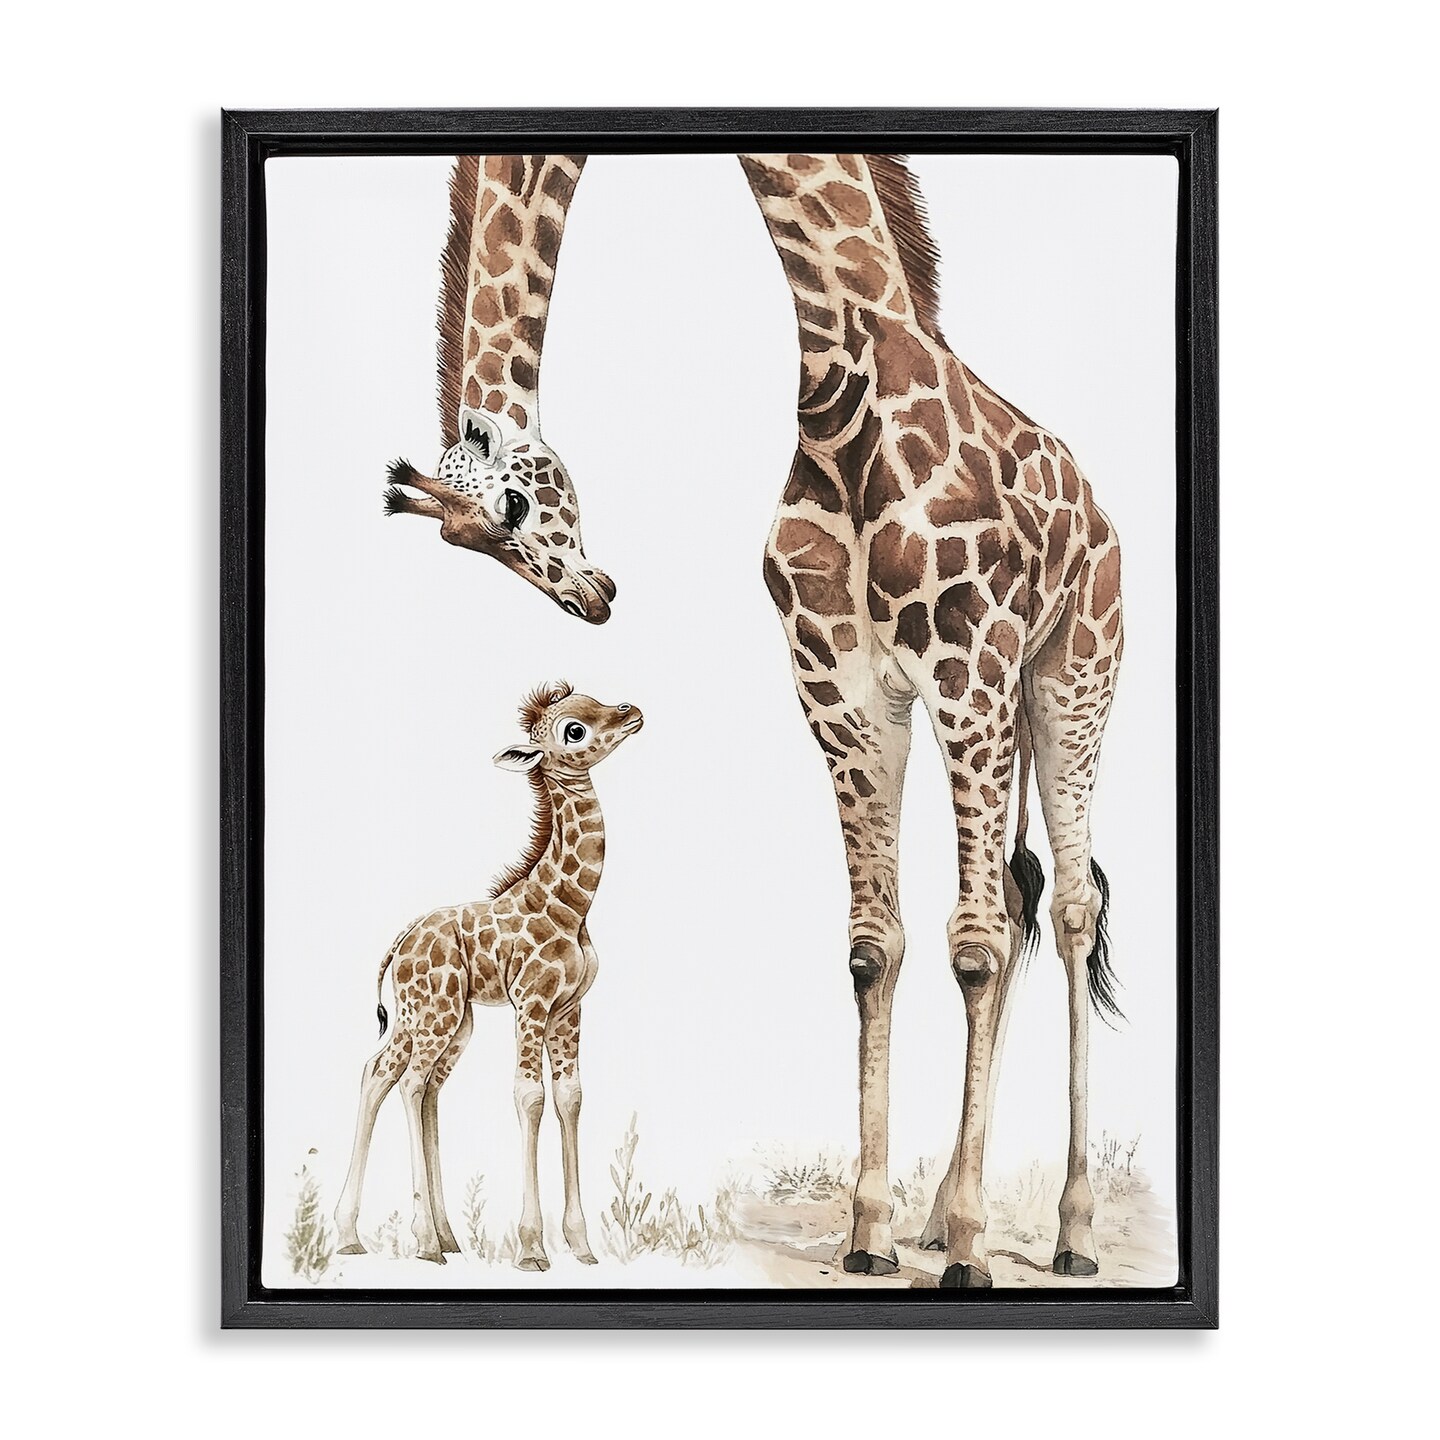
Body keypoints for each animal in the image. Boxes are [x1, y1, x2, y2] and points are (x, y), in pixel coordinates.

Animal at [334, 683, 643, 1269]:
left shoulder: (570, 1009)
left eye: (594, 698)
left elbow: (570, 1096)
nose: (632, 712)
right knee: (406, 1079)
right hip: (434, 1014)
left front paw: (581, 1245)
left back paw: (403, 1236)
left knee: (397, 1078)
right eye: (573, 730)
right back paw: (421, 1242)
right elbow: (530, 1097)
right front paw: (532, 1248)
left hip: (445, 1020)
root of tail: (399, 943)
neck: (571, 907)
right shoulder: (532, 1004)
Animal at [387, 153, 1124, 1287]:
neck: (842, 385)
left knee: (1073, 907)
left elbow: (973, 946)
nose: (593, 597)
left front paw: (969, 1250)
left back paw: (1069, 1231)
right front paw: (872, 1231)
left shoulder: (966, 668)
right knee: (1021, 893)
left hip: (1066, 677)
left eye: (511, 508)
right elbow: (874, 946)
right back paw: (937, 1214)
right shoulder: (843, 692)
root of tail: (1102, 516)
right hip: (1008, 703)